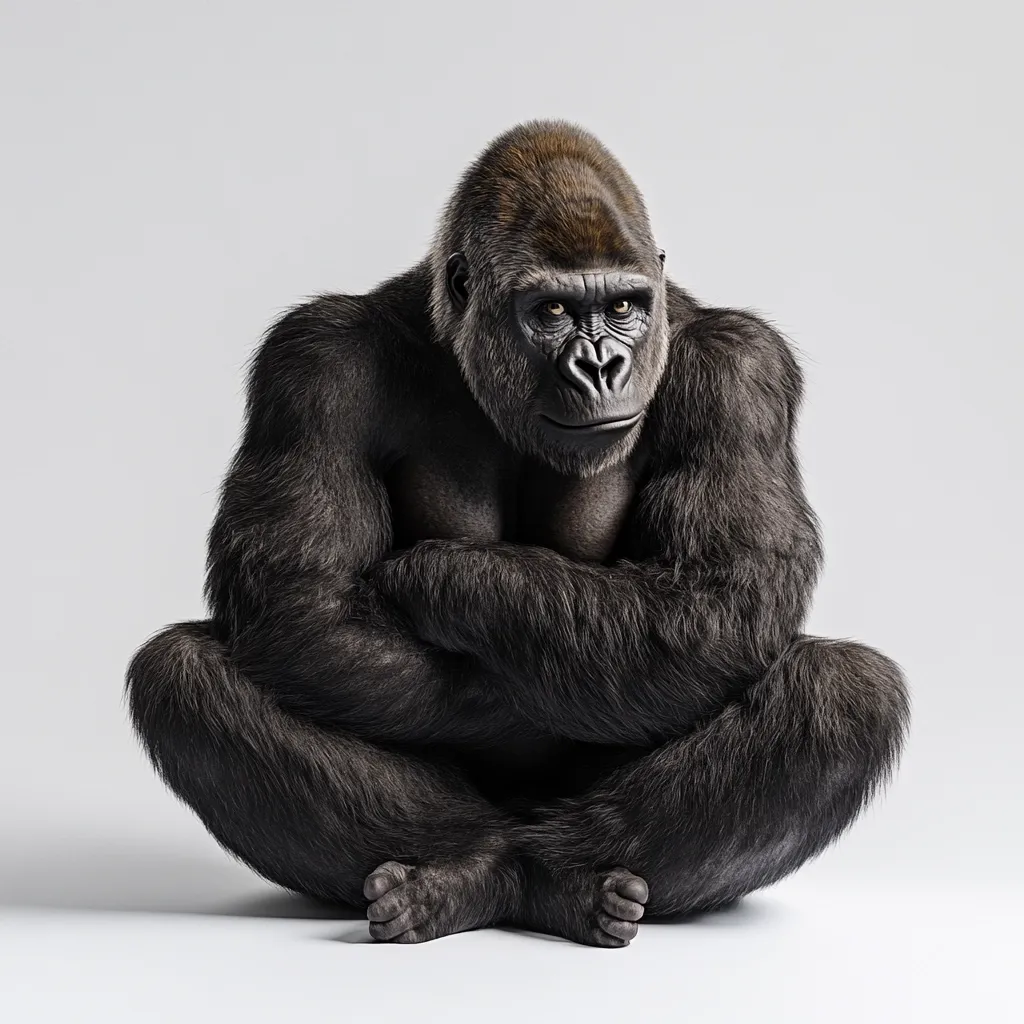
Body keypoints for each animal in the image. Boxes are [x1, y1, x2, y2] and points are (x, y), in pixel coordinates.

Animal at [126, 120, 909, 947]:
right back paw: (471, 873)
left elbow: (717, 600)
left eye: (625, 305)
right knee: (181, 673)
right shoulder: (312, 363)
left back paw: (562, 880)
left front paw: (441, 578)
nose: (603, 366)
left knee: (845, 691)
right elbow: (304, 606)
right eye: (554, 312)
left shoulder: (742, 371)